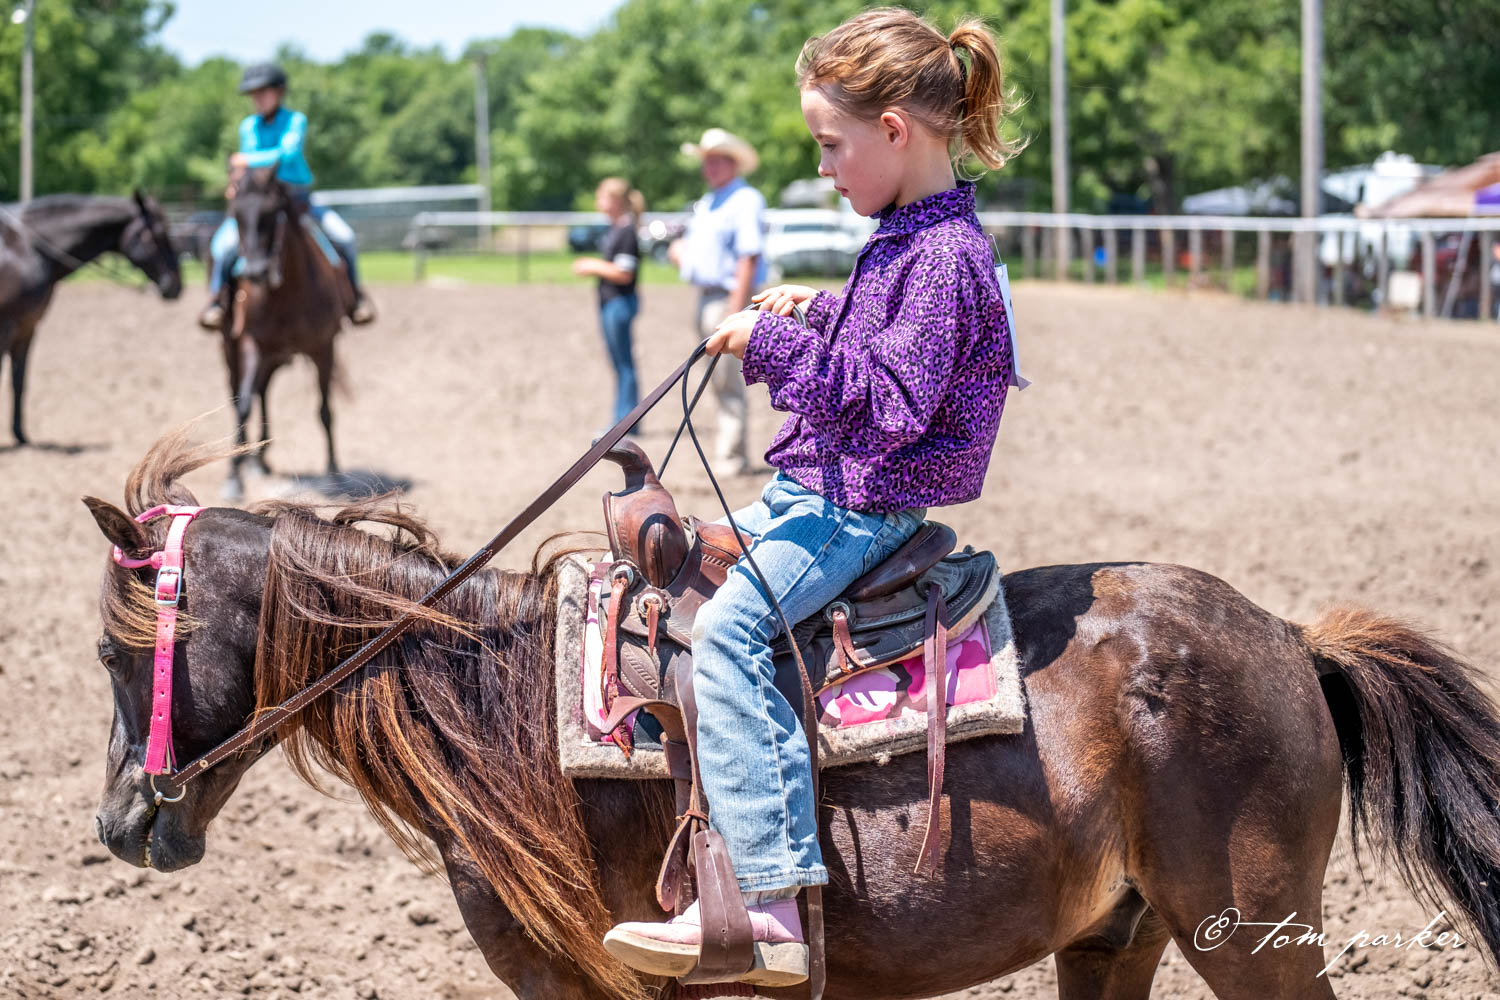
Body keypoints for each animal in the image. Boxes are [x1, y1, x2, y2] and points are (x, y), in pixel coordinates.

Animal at [0, 191, 181, 445]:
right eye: (156, 234)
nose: (176, 285)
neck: (25, 249)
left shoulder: (28, 328)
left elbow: (19, 381)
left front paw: (20, 434)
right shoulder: (6, 328)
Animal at [84, 433, 1500, 1000]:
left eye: (115, 651)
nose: (117, 824)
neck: (514, 711)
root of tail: (1290, 638)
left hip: (1252, 934)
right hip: (1119, 933)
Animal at [213, 168, 353, 500]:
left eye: (271, 212)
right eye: (235, 214)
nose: (254, 272)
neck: (288, 293)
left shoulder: (324, 347)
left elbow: (325, 409)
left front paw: (333, 473)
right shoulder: (251, 344)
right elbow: (243, 406)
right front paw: (233, 478)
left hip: (275, 357)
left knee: (263, 390)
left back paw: (259, 459)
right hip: (232, 349)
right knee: (243, 393)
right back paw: (249, 459)